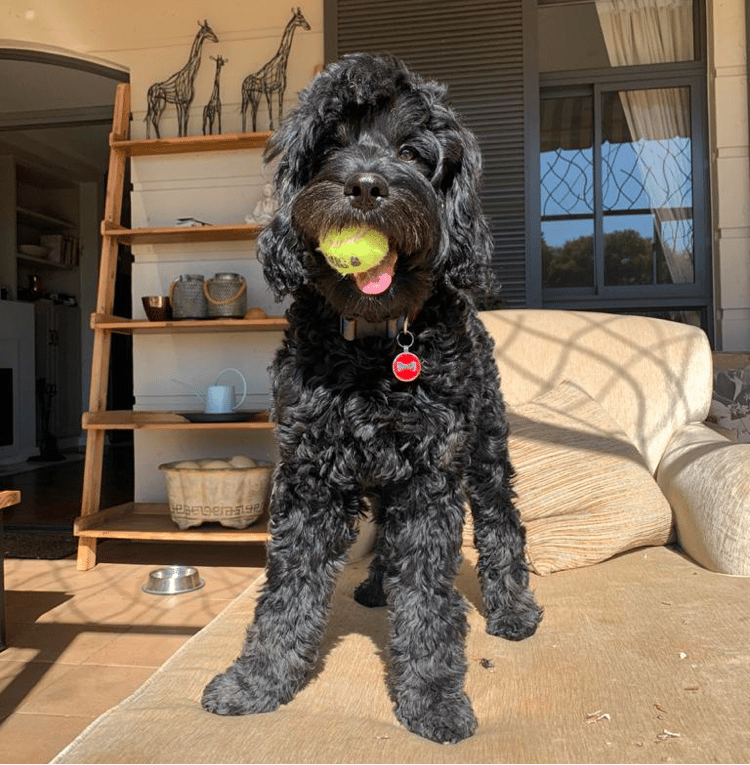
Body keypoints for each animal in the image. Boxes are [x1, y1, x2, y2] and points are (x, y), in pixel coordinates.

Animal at [203, 55, 544, 748]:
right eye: (330, 145)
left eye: (413, 152)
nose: (364, 186)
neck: (374, 345)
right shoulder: (310, 476)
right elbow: (287, 591)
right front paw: (255, 682)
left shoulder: (431, 478)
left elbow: (431, 599)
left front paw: (434, 699)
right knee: (385, 534)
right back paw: (377, 587)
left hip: (484, 449)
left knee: (503, 523)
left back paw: (513, 610)